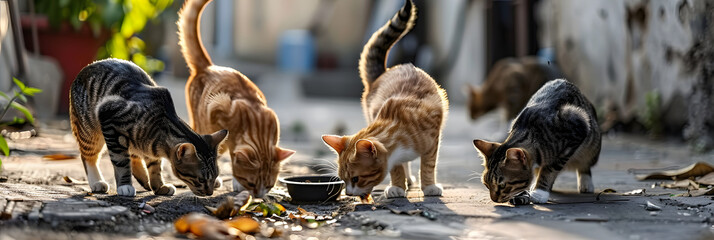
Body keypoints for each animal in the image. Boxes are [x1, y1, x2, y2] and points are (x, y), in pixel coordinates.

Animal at [68, 58, 227, 197]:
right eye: (201, 179)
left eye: (216, 176)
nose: (210, 193)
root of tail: (87, 67)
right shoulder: (109, 115)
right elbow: (121, 162)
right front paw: (125, 185)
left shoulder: (150, 147)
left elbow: (155, 166)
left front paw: (159, 186)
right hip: (91, 131)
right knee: (89, 156)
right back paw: (97, 181)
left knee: (133, 154)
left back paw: (144, 179)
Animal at [179, 0, 294, 199]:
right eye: (251, 183)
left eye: (270, 185)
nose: (258, 197)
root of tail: (208, 66)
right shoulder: (218, 107)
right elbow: (230, 152)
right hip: (203, 124)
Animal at [322, 0, 444, 199]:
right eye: (343, 178)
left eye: (355, 178)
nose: (348, 194)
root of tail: (385, 72)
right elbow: (396, 168)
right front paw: (397, 186)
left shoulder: (433, 141)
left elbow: (428, 164)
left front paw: (429, 186)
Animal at [472, 79, 600, 204]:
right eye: (486, 185)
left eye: (502, 185)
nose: (494, 199)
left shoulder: (577, 126)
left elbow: (549, 169)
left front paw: (539, 192)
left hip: (592, 146)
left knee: (584, 163)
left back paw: (586, 182)